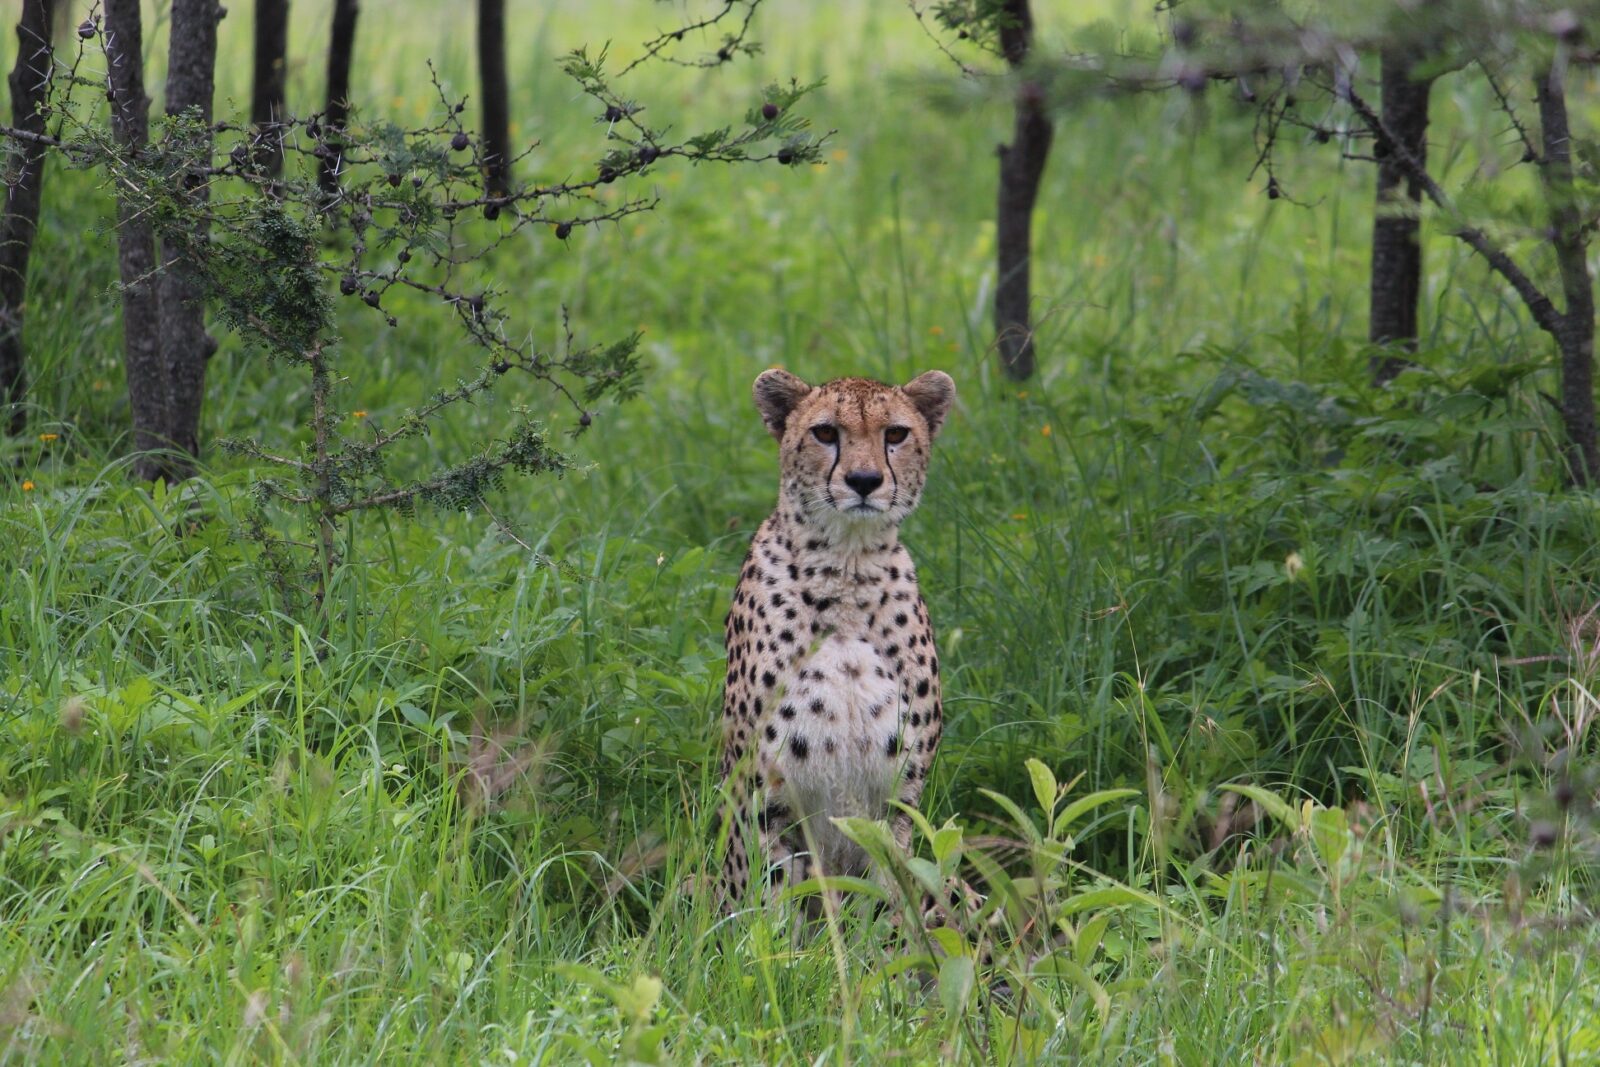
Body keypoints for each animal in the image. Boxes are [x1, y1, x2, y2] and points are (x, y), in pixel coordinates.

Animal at [720, 367, 953, 908]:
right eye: (825, 432)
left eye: (896, 434)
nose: (864, 481)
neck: (846, 567)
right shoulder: (766, 803)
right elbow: (775, 906)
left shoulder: (897, 801)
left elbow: (889, 900)